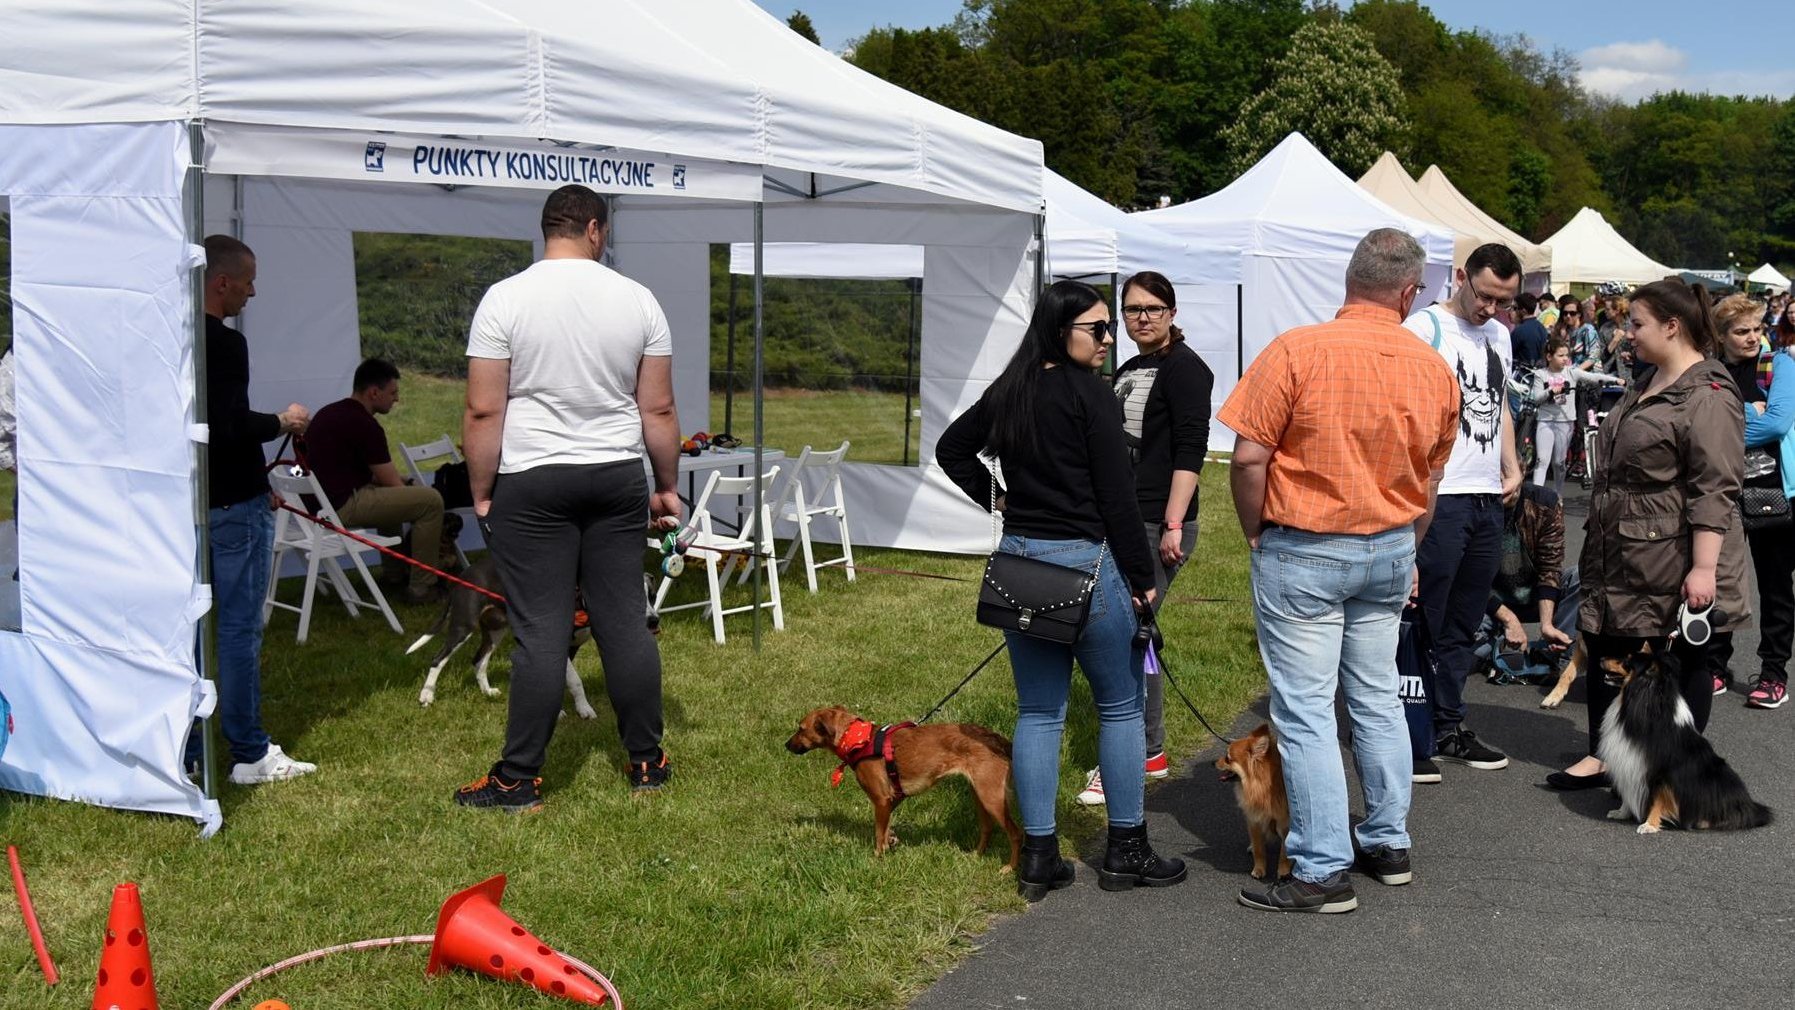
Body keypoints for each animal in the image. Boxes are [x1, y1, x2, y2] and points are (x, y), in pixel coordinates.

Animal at [789, 706, 1026, 871]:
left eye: (801, 729)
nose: (786, 745)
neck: (857, 740)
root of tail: (996, 738)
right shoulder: (892, 798)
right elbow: (885, 829)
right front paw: (890, 842)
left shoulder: (881, 799)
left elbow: (878, 833)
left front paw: (877, 858)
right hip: (979, 794)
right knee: (987, 828)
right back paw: (976, 856)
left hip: (991, 797)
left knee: (1016, 834)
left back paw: (1009, 868)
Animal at [1220, 724, 1292, 882]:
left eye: (1228, 758)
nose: (1213, 762)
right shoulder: (1254, 820)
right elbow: (1259, 849)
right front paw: (1259, 869)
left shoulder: (1285, 825)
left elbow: (1284, 853)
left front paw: (1283, 871)